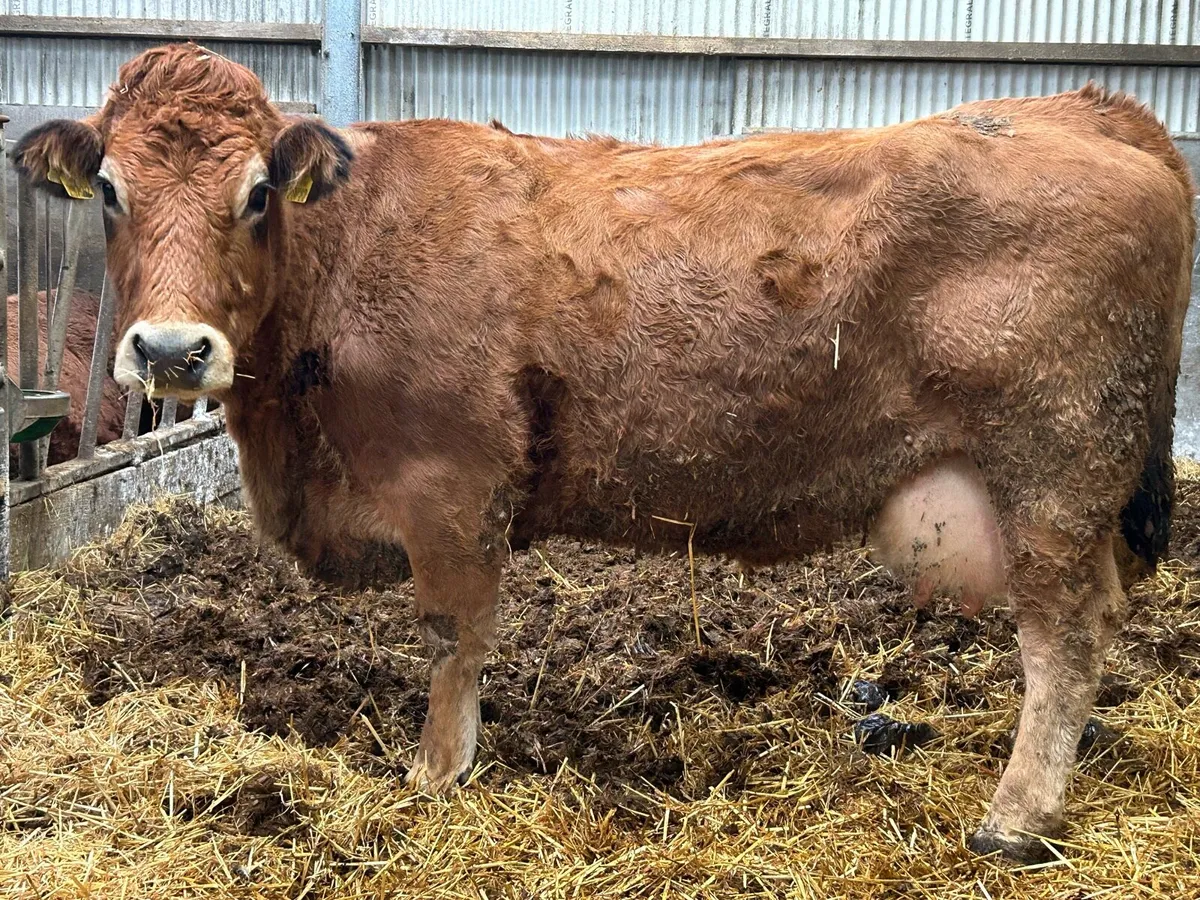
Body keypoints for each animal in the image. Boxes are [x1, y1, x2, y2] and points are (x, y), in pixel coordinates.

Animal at [14, 43, 1193, 863]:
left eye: (258, 192)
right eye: (110, 190)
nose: (171, 350)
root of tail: (1087, 109)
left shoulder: (452, 489)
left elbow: (453, 637)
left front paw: (438, 774)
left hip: (1054, 471)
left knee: (1066, 637)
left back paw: (1017, 814)